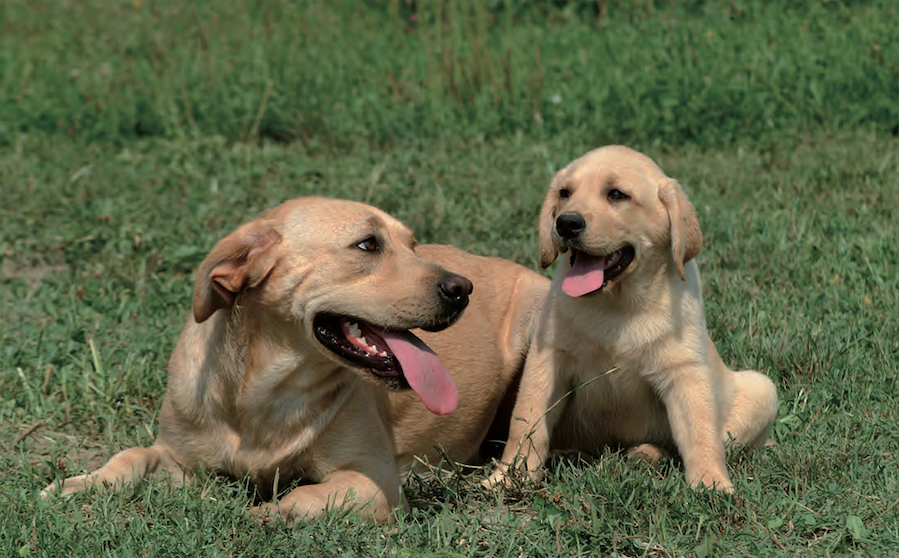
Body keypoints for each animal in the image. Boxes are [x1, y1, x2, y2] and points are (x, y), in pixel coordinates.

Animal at [45, 199, 552, 524]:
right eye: (368, 245)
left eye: (413, 245)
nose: (462, 289)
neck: (265, 394)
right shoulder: (178, 458)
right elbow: (130, 456)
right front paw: (82, 483)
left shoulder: (374, 481)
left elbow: (305, 494)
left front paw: (267, 513)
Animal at [488, 147, 776, 492]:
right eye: (564, 193)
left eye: (616, 195)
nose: (566, 223)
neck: (618, 304)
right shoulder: (548, 358)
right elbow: (527, 420)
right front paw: (509, 474)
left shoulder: (685, 372)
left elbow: (700, 434)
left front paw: (711, 483)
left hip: (763, 389)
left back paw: (645, 454)